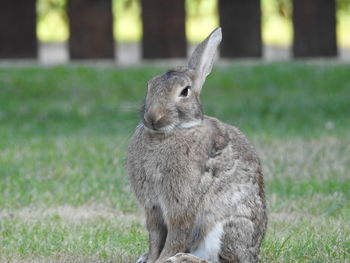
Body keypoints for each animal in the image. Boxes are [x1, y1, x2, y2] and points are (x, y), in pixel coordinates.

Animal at [127, 27, 266, 263]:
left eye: (185, 91)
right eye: (150, 86)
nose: (153, 117)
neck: (170, 132)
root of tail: (253, 254)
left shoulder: (180, 205)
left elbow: (176, 235)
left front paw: (163, 259)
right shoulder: (152, 208)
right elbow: (155, 236)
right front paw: (152, 258)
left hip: (225, 226)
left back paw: (181, 258)